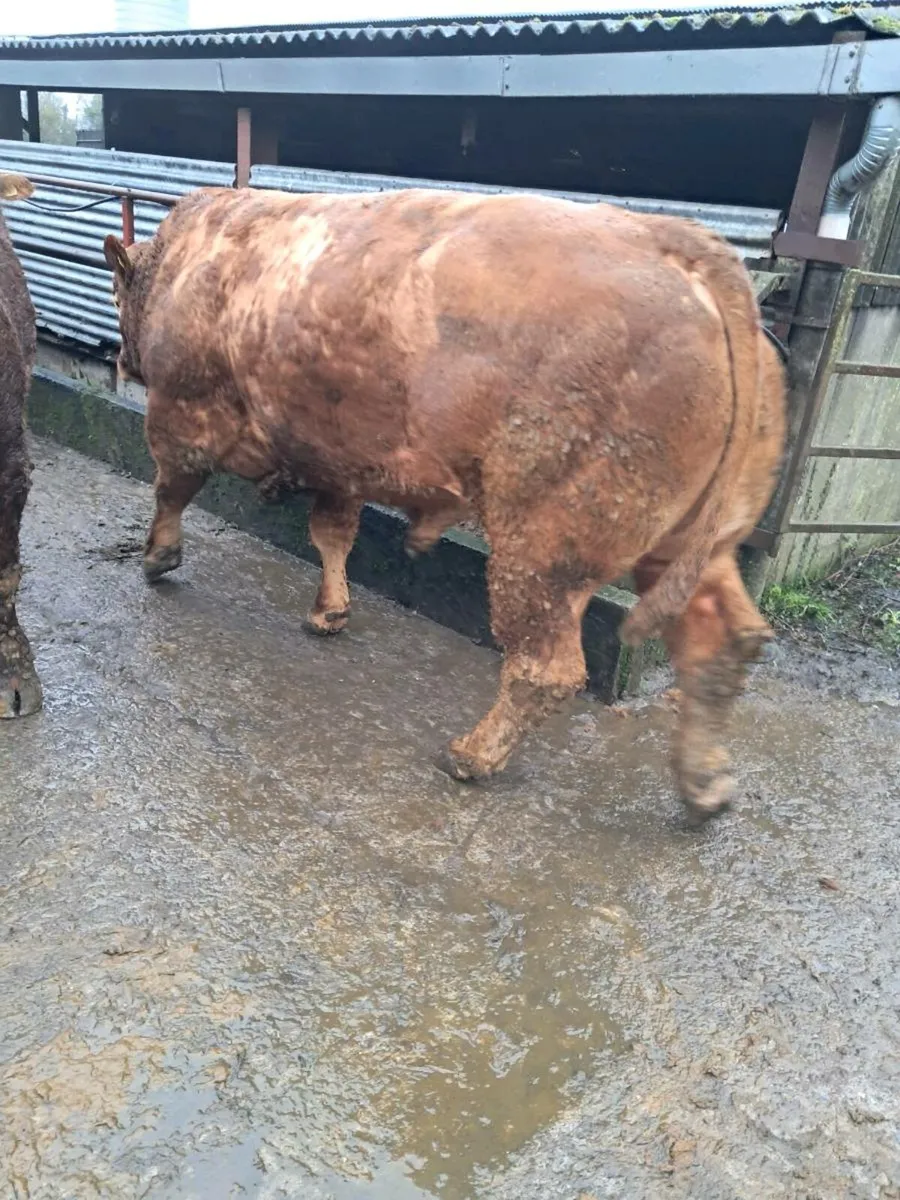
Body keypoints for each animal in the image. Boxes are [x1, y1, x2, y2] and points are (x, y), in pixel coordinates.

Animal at [103, 186, 785, 822]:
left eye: (116, 295)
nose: (120, 358)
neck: (190, 260)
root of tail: (676, 242)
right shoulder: (342, 462)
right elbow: (333, 534)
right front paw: (330, 612)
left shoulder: (179, 414)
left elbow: (170, 489)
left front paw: (157, 558)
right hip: (698, 543)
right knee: (726, 641)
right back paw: (704, 785)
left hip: (542, 550)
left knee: (546, 667)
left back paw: (470, 756)